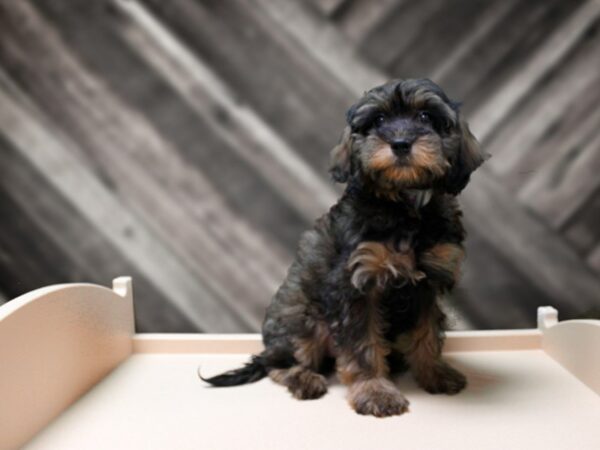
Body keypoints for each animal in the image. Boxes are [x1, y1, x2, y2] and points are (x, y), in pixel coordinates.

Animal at [202, 78, 488, 418]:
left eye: (425, 117)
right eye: (378, 120)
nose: (401, 143)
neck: (403, 207)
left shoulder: (428, 283)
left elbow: (427, 332)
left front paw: (434, 373)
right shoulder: (357, 285)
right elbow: (362, 344)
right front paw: (375, 391)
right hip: (304, 323)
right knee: (279, 363)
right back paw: (304, 379)